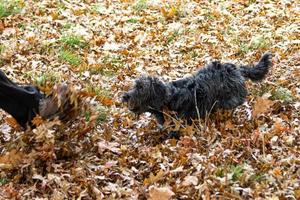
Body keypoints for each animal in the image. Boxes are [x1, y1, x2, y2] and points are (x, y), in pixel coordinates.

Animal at [122, 52, 272, 126]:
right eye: (134, 85)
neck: (168, 99)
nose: (125, 96)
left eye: (141, 89)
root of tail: (234, 68)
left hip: (230, 98)